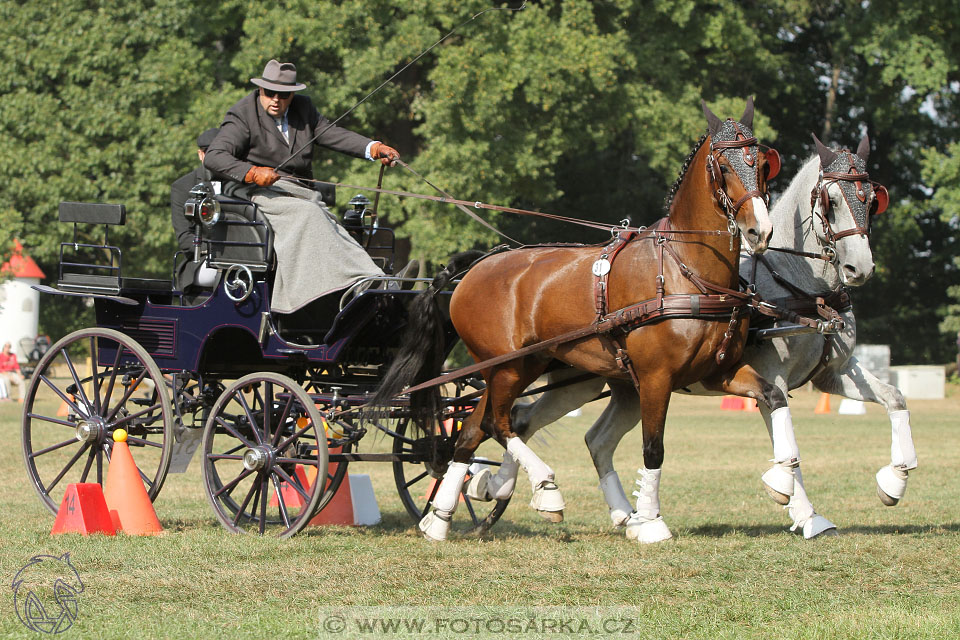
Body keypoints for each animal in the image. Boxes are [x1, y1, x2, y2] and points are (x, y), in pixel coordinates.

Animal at [376, 97, 788, 544]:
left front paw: (783, 480)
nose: (760, 231)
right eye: (724, 166)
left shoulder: (716, 372)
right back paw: (545, 490)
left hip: (519, 367)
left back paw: (440, 518)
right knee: (497, 423)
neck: (685, 270)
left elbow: (774, 395)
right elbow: (653, 448)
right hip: (506, 367)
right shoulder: (656, 377)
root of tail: (480, 263)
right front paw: (651, 522)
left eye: (762, 165)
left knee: (473, 430)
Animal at [492, 134, 912, 540]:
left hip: (613, 386)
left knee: (578, 435)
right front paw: (803, 511)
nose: (860, 268)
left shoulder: (830, 374)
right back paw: (506, 490)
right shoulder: (771, 376)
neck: (801, 288)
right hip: (573, 380)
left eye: (873, 198)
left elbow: (895, 397)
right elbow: (788, 446)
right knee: (520, 419)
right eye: (832, 200)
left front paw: (893, 481)